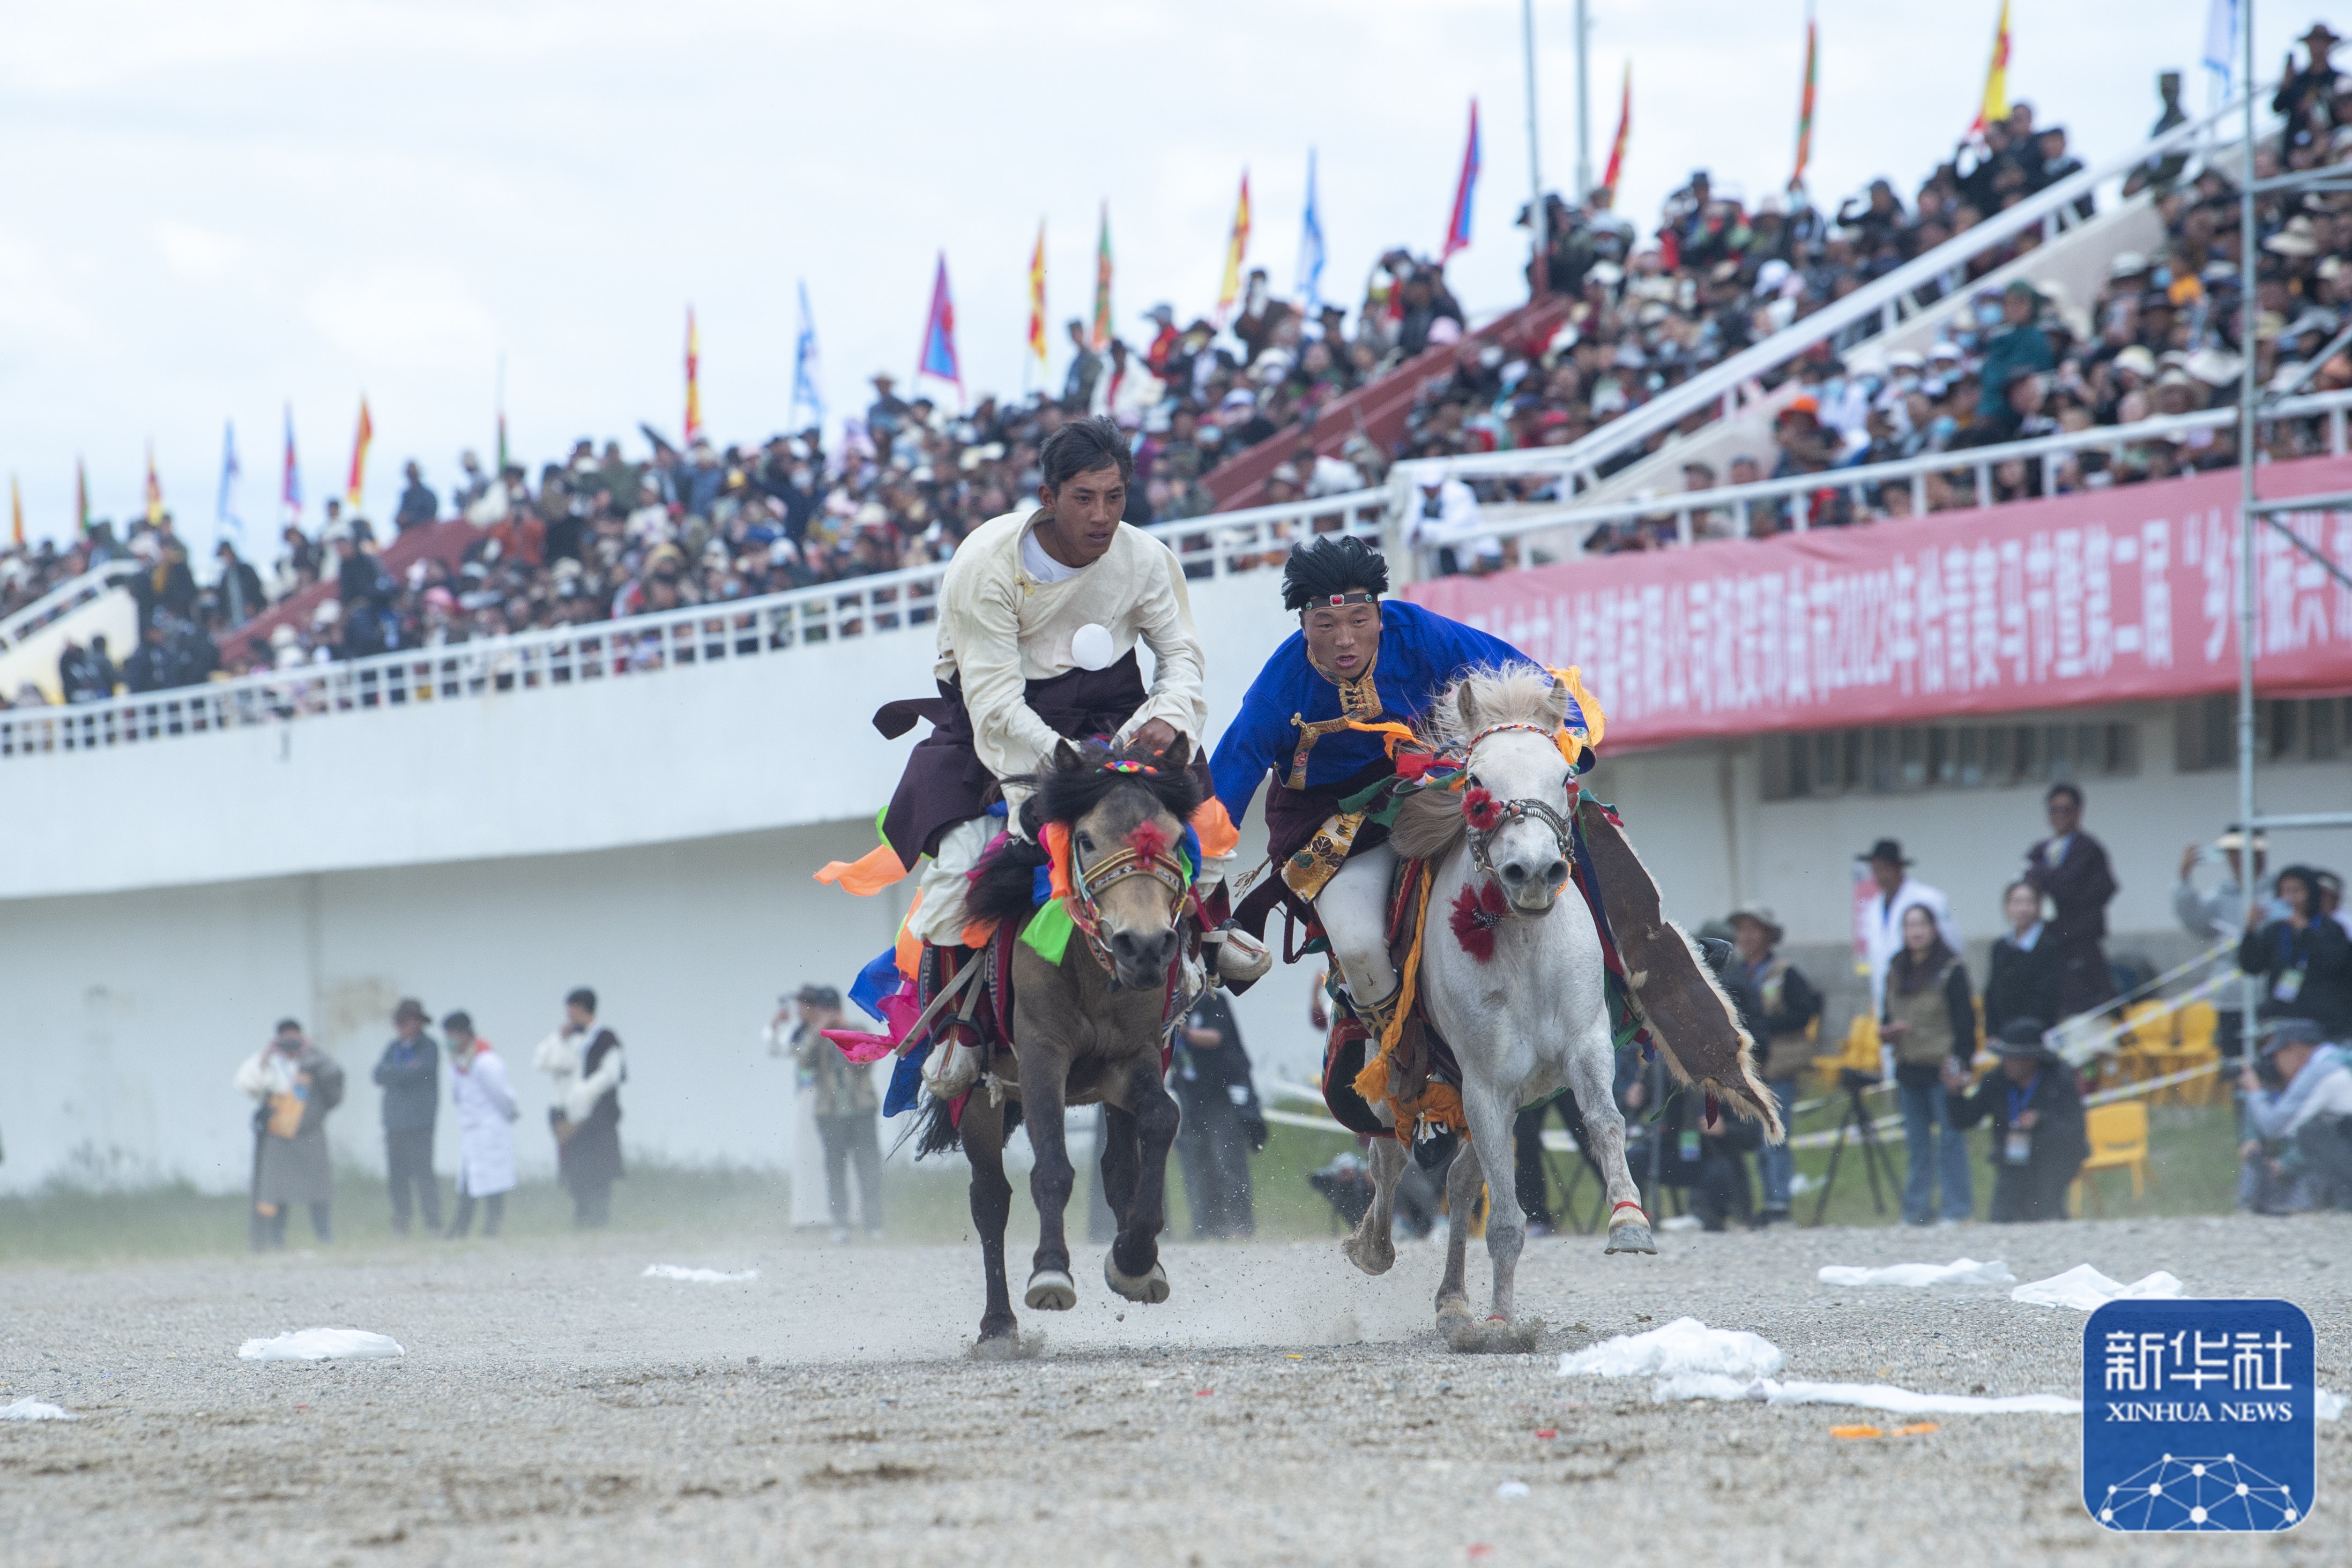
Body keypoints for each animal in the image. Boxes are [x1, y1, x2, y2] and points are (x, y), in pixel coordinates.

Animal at [912, 738, 1204, 1354]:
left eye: (1174, 840)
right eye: (1087, 838)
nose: (1145, 947)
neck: (1091, 968)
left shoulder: (1132, 1059)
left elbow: (1160, 1122)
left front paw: (1135, 1258)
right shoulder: (1042, 1056)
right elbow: (1050, 1167)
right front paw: (1050, 1271)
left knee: (1118, 1164)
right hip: (979, 1097)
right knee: (989, 1197)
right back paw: (998, 1324)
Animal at [1345, 667, 1674, 1345]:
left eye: (1565, 776)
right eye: (1475, 782)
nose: (1534, 871)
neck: (1524, 951)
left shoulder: (1584, 1048)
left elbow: (1605, 1121)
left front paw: (1629, 1220)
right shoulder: (1486, 1083)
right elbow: (1503, 1218)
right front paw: (1499, 1322)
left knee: (1459, 1178)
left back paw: (1451, 1301)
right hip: (1401, 1073)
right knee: (1388, 1157)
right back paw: (1375, 1248)